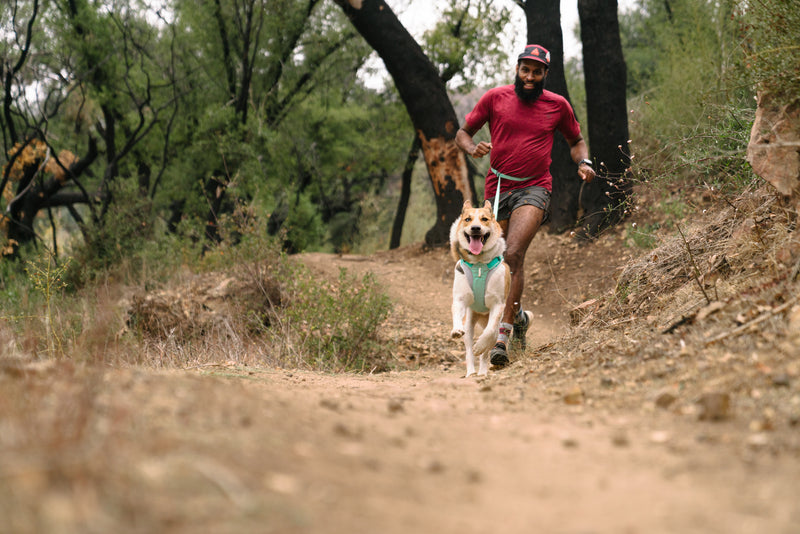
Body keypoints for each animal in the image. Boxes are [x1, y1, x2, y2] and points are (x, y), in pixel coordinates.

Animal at [446, 199, 510, 378]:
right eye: (468, 219)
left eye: (484, 219)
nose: (475, 228)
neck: (479, 263)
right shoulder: (460, 299)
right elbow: (456, 312)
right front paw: (456, 329)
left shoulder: (498, 304)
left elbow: (488, 333)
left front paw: (480, 345)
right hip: (469, 323)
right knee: (468, 350)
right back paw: (471, 373)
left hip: (494, 328)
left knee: (486, 349)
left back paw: (482, 371)